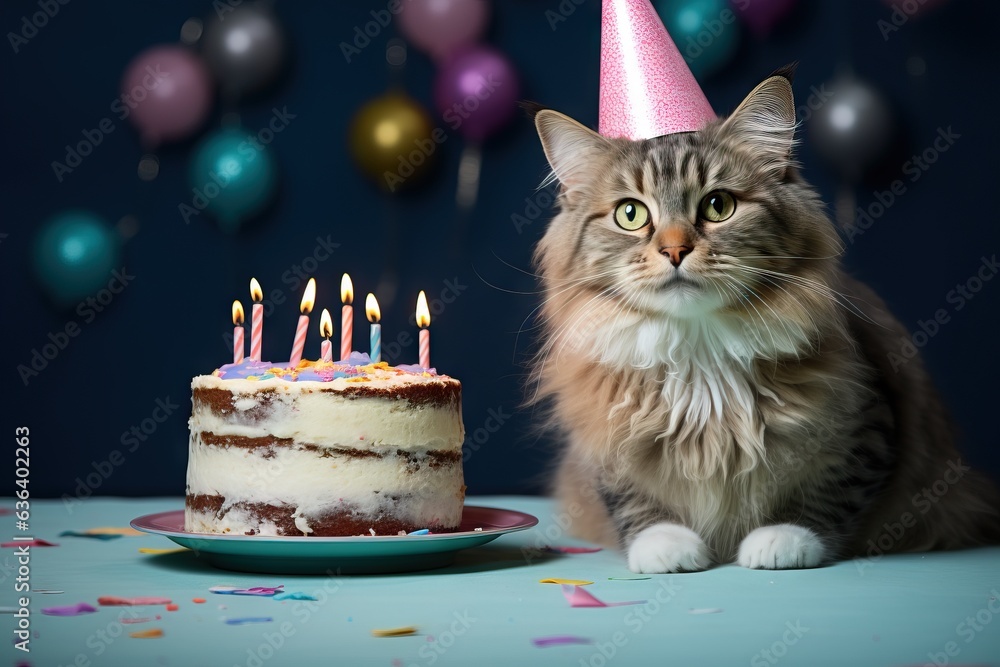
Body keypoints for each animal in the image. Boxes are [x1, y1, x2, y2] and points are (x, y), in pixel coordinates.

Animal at [528, 68, 996, 576]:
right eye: (630, 214)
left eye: (717, 206)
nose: (674, 250)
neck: (700, 352)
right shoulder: (602, 440)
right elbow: (634, 502)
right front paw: (665, 546)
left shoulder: (870, 424)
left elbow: (829, 496)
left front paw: (785, 539)